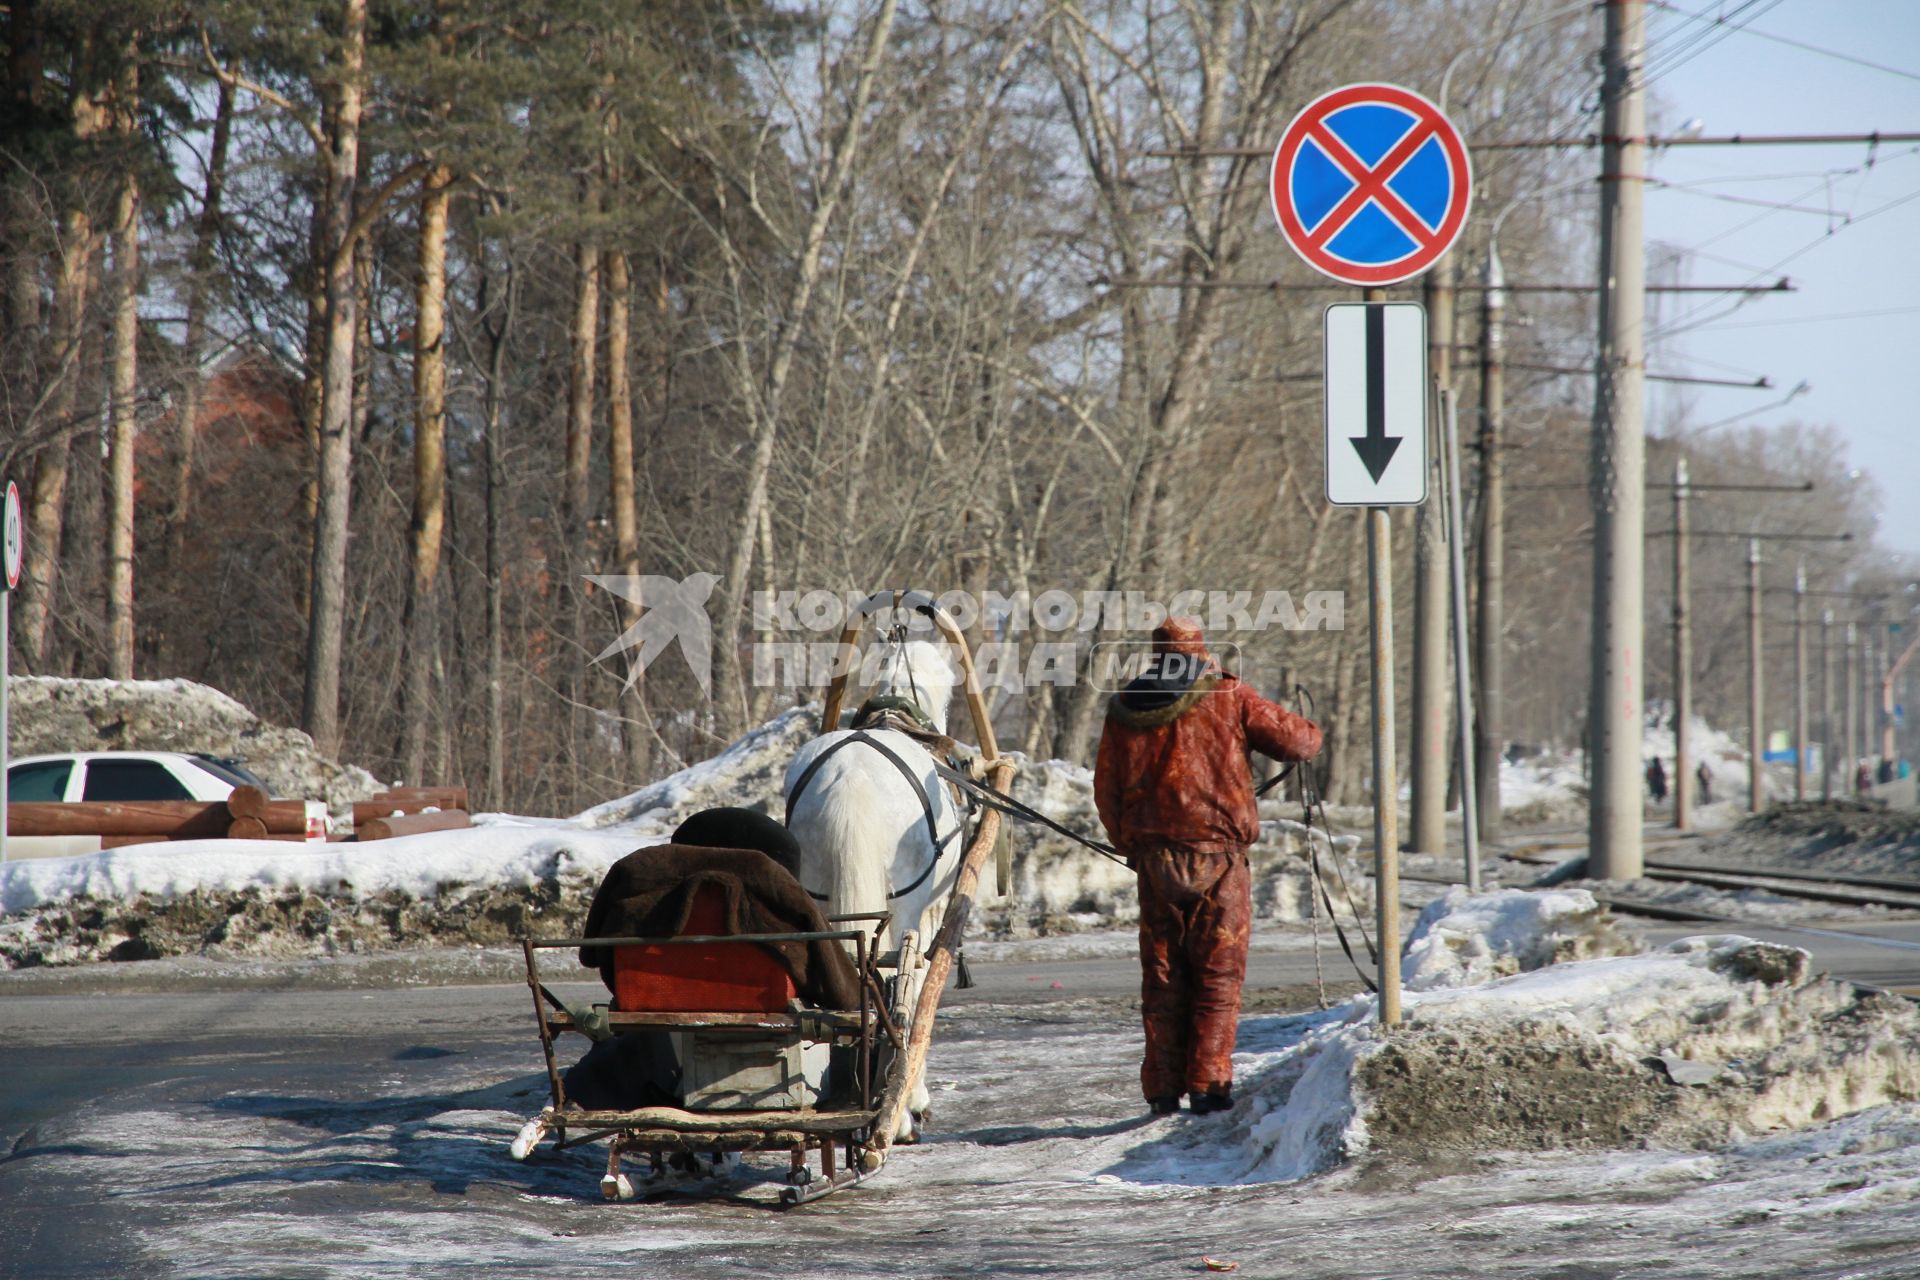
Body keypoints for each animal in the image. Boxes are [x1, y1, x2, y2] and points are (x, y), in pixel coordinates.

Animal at [775, 640, 960, 1143]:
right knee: (903, 982)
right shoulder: (929, 909)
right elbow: (919, 987)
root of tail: (850, 777)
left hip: (820, 896)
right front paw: (914, 1102)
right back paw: (899, 1112)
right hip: (905, 904)